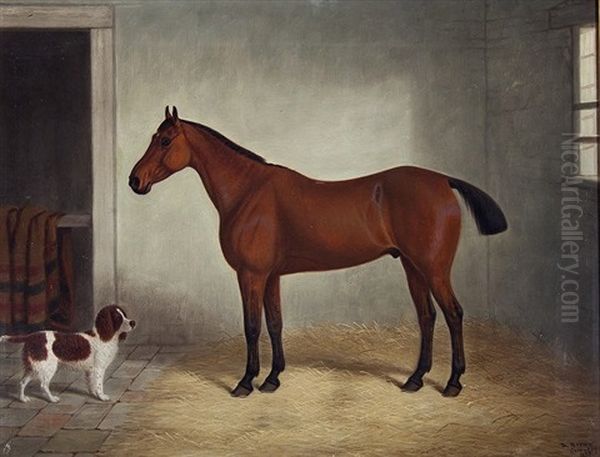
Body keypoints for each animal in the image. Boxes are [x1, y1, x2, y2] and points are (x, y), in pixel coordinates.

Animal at [0, 304, 135, 400]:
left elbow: (91, 383)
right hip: (48, 367)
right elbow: (98, 384)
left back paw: (23, 399)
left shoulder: (90, 370)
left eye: (124, 314)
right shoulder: (99, 368)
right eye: (118, 318)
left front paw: (93, 394)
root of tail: (31, 336)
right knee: (43, 385)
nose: (133, 322)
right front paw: (101, 397)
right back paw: (52, 399)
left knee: (22, 382)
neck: (102, 336)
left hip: (34, 367)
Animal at [130, 106, 506, 396]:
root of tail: (442, 180)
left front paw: (246, 382)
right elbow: (275, 323)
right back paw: (414, 380)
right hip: (413, 268)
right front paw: (272, 379)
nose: (135, 181)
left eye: (164, 141)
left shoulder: (251, 275)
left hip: (434, 268)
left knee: (453, 314)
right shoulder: (271, 277)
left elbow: (252, 326)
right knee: (427, 317)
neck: (248, 192)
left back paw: (453, 383)